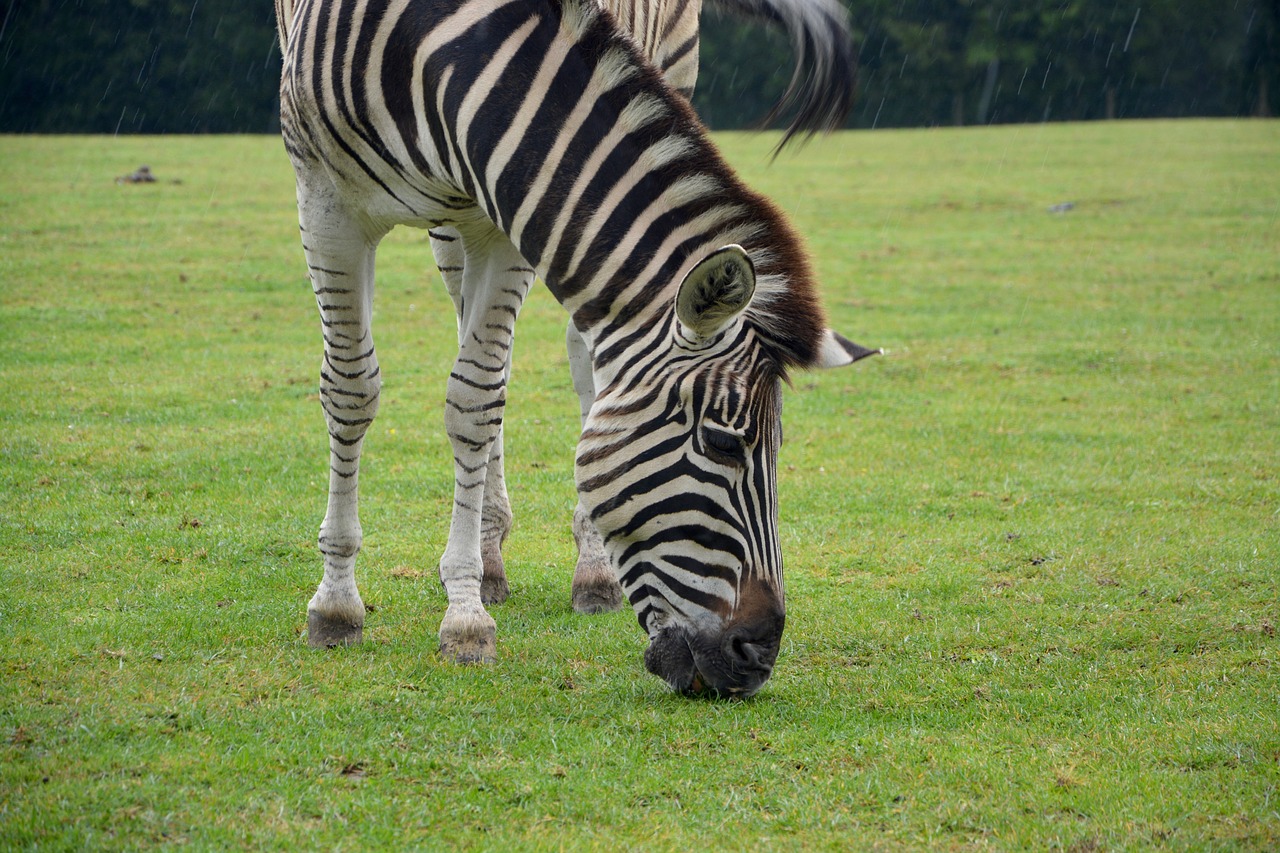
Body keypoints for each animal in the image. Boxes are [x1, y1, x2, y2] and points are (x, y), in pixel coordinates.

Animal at [277, 0, 880, 696]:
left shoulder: (504, 205)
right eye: (723, 443)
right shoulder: (325, 199)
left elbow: (474, 402)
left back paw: (586, 569)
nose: (758, 657)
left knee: (569, 357)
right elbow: (354, 391)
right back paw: (488, 556)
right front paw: (337, 606)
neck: (435, 42)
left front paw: (464, 616)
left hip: (665, 74)